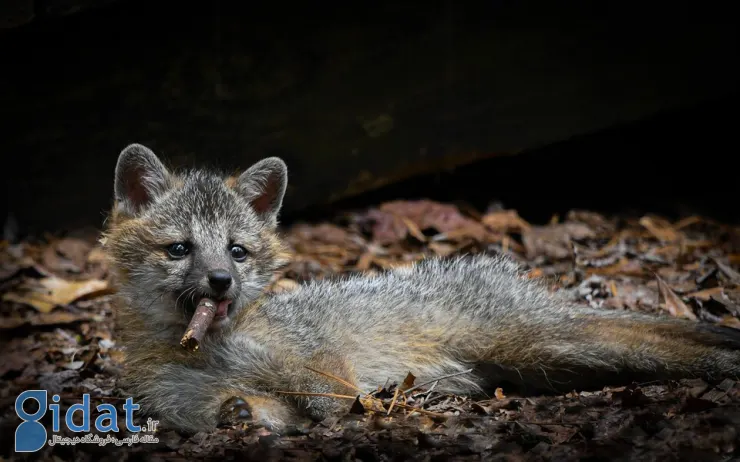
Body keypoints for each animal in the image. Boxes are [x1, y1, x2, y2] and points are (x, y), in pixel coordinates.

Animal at [102, 143, 740, 432]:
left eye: (237, 251)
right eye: (180, 249)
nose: (221, 280)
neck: (215, 349)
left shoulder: (322, 367)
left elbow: (331, 398)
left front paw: (359, 411)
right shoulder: (199, 404)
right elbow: (245, 410)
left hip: (546, 345)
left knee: (666, 345)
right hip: (543, 363)